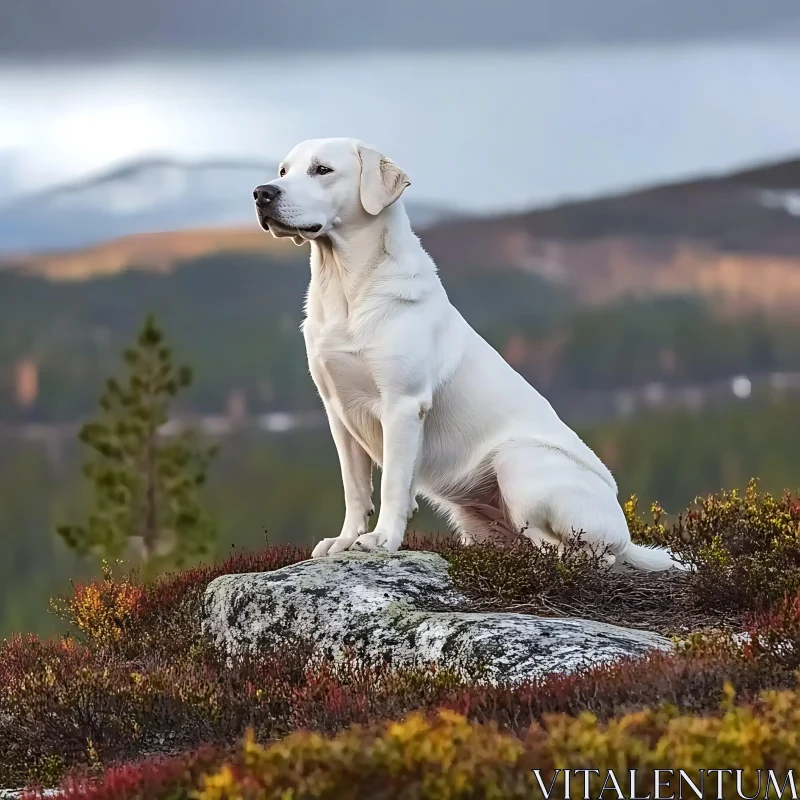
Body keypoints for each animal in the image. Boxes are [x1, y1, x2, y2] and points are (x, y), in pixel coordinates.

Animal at [253, 141, 684, 572]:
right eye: (283, 170)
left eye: (322, 170)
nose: (261, 193)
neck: (346, 289)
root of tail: (626, 535)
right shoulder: (338, 411)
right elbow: (355, 489)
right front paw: (344, 541)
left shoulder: (402, 405)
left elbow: (393, 483)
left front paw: (382, 540)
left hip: (516, 461)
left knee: (579, 553)